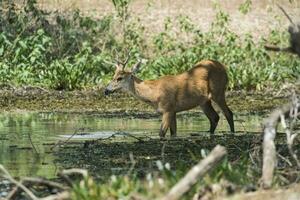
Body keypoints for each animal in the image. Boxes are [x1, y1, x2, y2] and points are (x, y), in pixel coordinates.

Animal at [105, 57, 234, 138]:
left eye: (119, 78)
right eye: (113, 76)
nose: (106, 90)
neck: (153, 93)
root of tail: (224, 68)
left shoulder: (167, 109)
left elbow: (161, 133)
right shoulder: (173, 111)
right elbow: (173, 133)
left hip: (218, 92)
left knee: (228, 113)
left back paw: (232, 134)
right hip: (203, 101)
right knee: (215, 117)